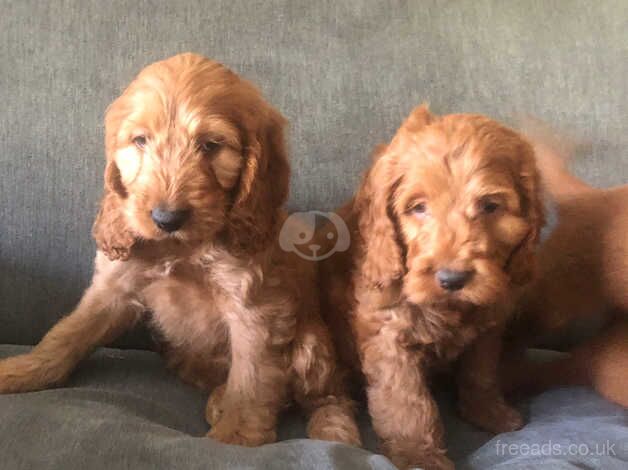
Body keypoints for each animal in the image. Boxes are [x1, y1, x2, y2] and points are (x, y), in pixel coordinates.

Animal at [0, 52, 360, 448]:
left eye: (211, 145)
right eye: (140, 141)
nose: (166, 218)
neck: (180, 248)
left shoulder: (253, 308)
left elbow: (252, 379)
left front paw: (234, 437)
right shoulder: (114, 288)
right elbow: (67, 333)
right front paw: (22, 370)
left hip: (312, 344)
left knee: (330, 397)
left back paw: (335, 432)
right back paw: (220, 398)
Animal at [318, 106, 544, 470]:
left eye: (490, 206)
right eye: (418, 207)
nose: (452, 279)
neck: (446, 308)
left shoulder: (487, 327)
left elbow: (480, 374)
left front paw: (488, 413)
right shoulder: (388, 335)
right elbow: (406, 401)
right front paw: (418, 454)